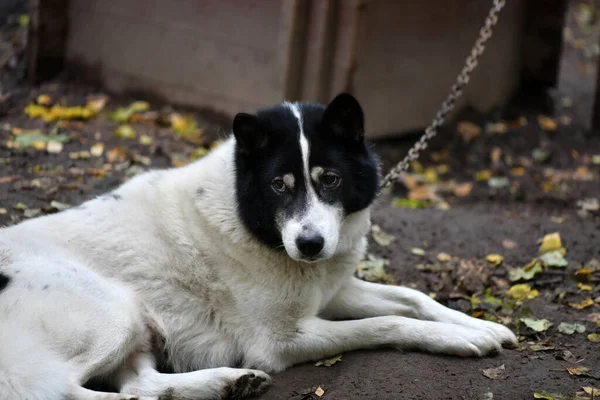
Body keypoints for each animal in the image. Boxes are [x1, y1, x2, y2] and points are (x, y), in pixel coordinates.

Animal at [0, 94, 516, 400]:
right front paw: (459, 339)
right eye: (278, 186)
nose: (309, 245)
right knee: (64, 392)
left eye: (330, 179)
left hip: (140, 327)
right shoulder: (281, 341)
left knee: (141, 387)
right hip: (113, 312)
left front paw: (479, 325)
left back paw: (230, 383)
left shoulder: (333, 290)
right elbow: (385, 323)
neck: (248, 217)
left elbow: (413, 297)